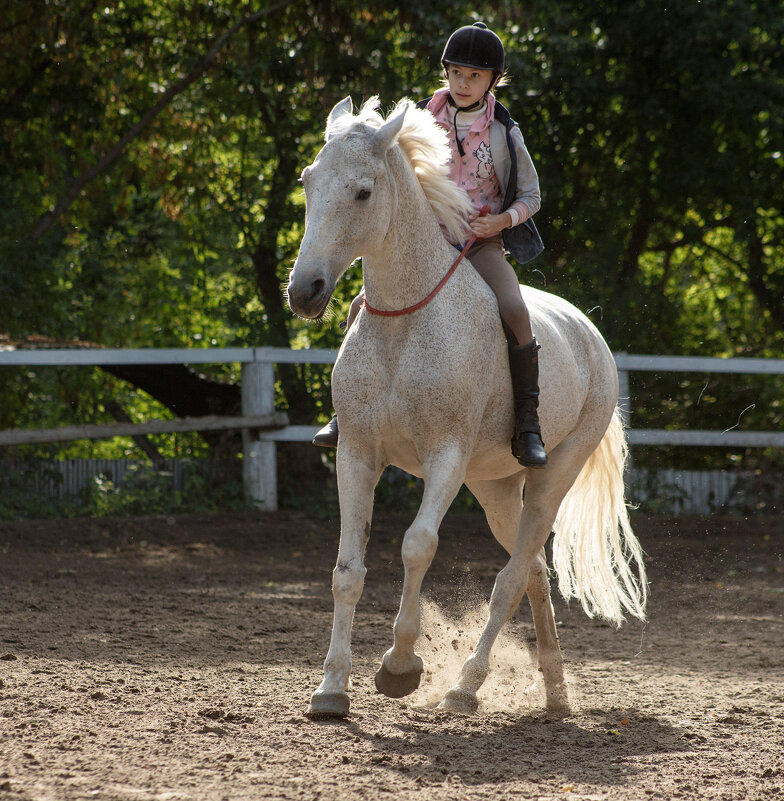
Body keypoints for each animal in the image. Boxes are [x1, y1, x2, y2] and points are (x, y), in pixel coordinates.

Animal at [284, 97, 648, 716]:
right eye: (308, 181)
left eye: (363, 193)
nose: (303, 291)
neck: (404, 325)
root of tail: (589, 333)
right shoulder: (356, 454)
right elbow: (346, 571)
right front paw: (331, 690)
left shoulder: (445, 458)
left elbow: (417, 546)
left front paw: (400, 667)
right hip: (495, 487)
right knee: (533, 572)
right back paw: (553, 690)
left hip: (550, 478)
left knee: (513, 575)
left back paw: (465, 685)